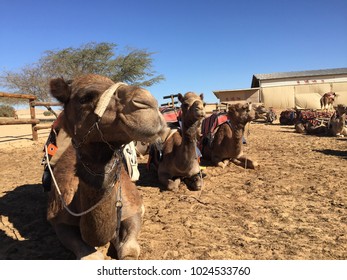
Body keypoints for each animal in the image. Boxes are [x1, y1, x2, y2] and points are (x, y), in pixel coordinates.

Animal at [46, 73, 167, 260]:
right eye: (84, 98)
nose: (147, 102)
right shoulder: (58, 220)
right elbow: (91, 256)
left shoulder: (132, 209)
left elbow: (129, 249)